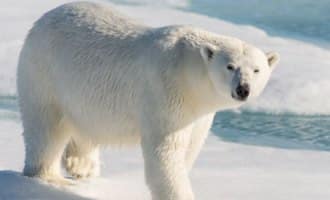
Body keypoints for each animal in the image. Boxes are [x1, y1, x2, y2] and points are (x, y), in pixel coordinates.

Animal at [16, 1, 278, 200]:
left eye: (256, 70)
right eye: (230, 66)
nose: (243, 89)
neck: (188, 70)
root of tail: (42, 19)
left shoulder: (198, 113)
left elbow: (190, 148)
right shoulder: (167, 92)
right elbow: (166, 153)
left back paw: (81, 165)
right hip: (44, 73)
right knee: (46, 127)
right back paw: (50, 178)